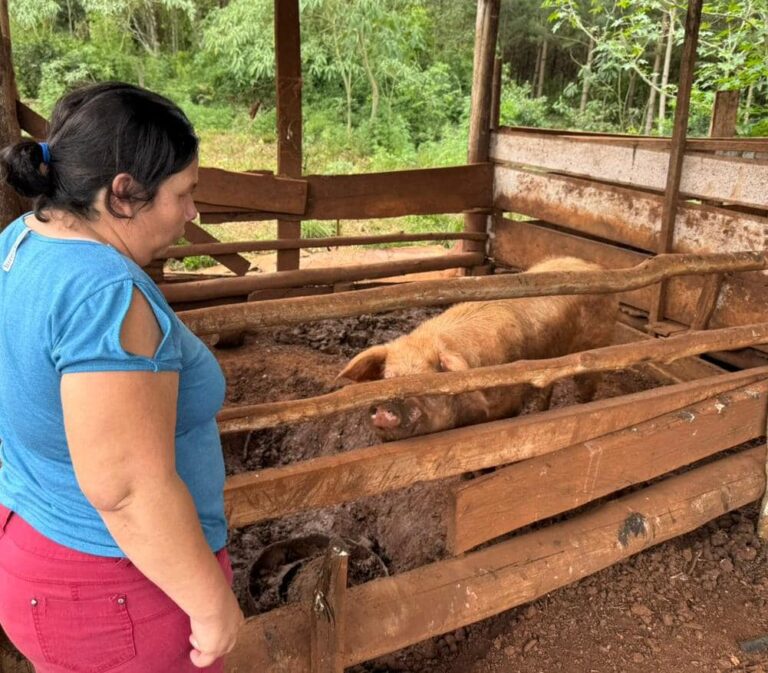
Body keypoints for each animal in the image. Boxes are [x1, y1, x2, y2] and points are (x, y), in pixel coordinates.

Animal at [336, 258, 616, 440]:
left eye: (428, 382)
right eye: (387, 378)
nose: (385, 408)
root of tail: (597, 267)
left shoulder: (506, 406)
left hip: (596, 346)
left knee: (586, 390)